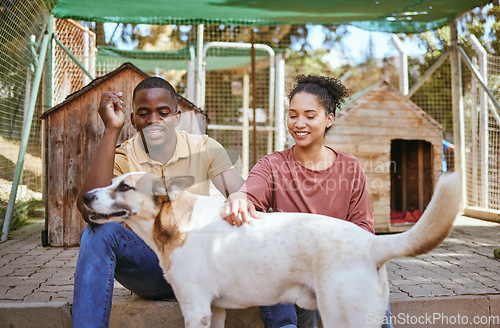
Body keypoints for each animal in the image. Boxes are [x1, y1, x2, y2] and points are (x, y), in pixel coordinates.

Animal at [83, 170, 460, 326]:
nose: (85, 196)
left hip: (344, 318)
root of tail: (371, 242)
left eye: (125, 187)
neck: (177, 222)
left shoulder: (196, 309)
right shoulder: (213, 312)